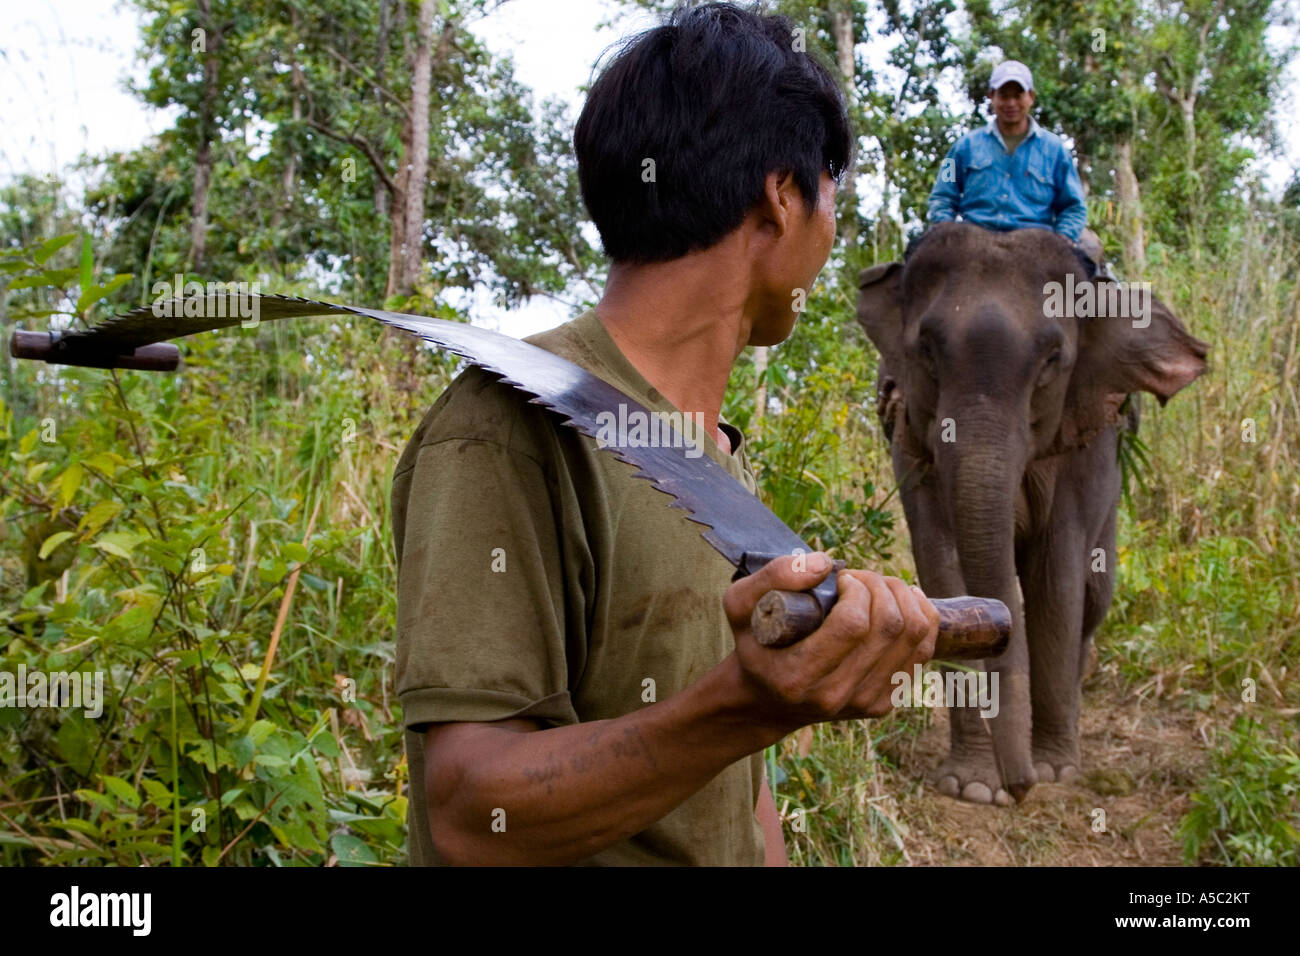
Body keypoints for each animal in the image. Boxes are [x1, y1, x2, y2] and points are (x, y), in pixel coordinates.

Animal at [852, 222, 1206, 806]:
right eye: (926, 350)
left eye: (1051, 362)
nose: (1020, 790)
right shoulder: (908, 433)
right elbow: (942, 565)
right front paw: (974, 785)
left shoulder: (1088, 439)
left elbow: (1055, 574)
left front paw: (1055, 772)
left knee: (1093, 594)